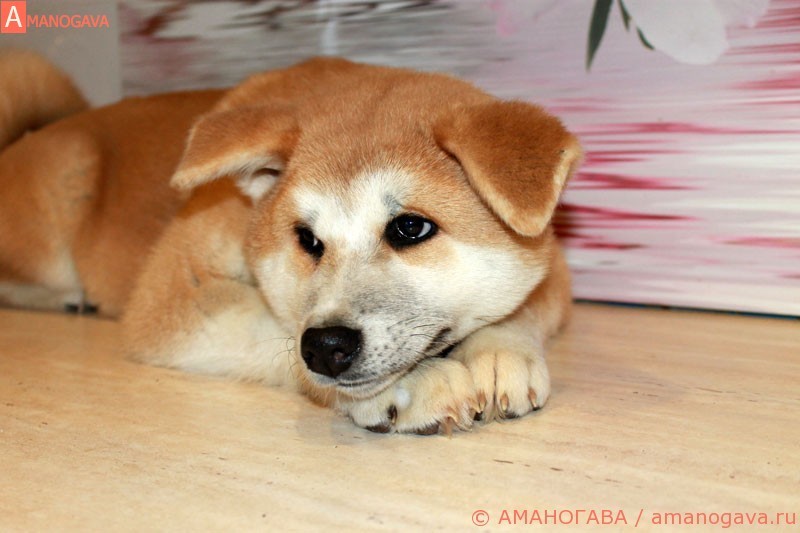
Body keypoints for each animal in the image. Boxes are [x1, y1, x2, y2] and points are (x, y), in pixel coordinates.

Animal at [0, 50, 581, 435]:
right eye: (306, 239)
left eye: (410, 228)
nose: (325, 346)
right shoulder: (173, 295)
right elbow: (273, 333)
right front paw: (416, 384)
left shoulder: (553, 265)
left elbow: (528, 305)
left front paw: (500, 350)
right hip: (65, 191)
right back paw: (66, 299)